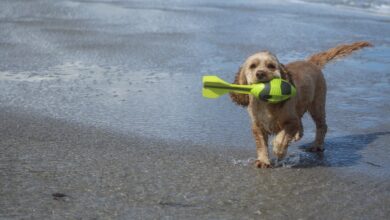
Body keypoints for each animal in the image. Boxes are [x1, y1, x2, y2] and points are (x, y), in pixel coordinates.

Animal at [230, 41, 374, 168]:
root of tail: (310, 62)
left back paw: (316, 145)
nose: (260, 73)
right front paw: (263, 161)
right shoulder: (258, 126)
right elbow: (261, 145)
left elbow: (282, 136)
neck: (266, 102)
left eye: (271, 66)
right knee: (303, 126)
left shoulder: (291, 121)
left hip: (317, 105)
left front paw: (279, 149)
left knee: (322, 126)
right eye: (252, 66)